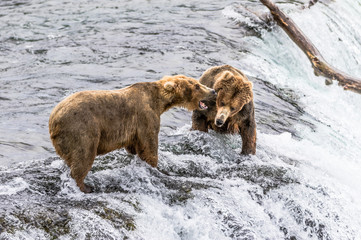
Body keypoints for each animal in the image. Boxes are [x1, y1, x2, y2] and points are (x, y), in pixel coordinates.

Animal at [49, 75, 215, 193]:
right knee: (84, 156)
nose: (213, 91)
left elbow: (134, 147)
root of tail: (53, 119)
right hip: (82, 128)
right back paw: (85, 186)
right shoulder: (145, 117)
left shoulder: (132, 130)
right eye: (197, 85)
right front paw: (158, 168)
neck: (160, 102)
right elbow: (149, 146)